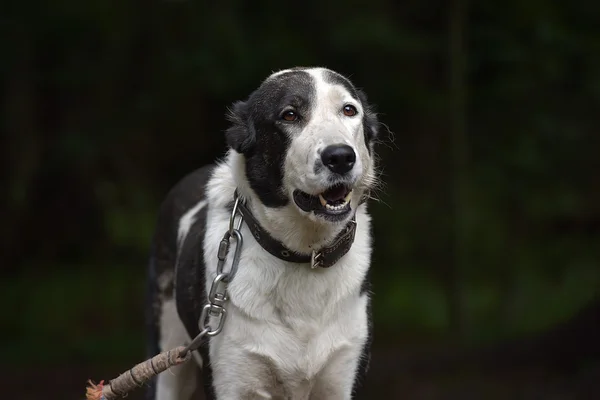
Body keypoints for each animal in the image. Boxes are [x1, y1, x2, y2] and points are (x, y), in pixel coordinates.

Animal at [145, 67, 380, 398]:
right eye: (289, 115)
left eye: (349, 110)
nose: (340, 157)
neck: (303, 255)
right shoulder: (231, 379)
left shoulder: (343, 376)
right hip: (166, 357)